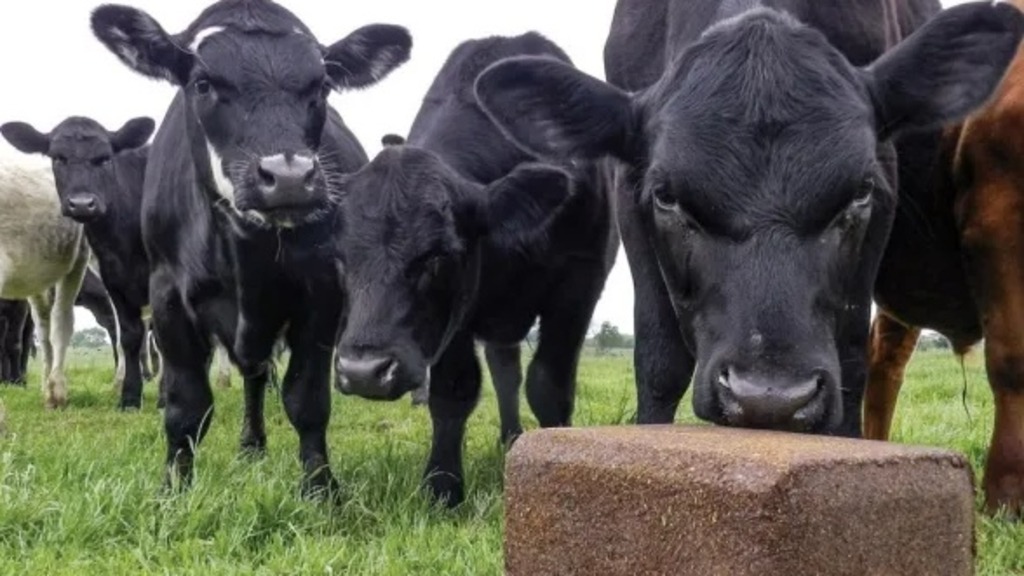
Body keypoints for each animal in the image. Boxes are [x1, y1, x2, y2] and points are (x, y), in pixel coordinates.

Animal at [90, 0, 411, 496]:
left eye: (322, 85)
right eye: (203, 83)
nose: (290, 177)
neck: (243, 254)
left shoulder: (320, 295)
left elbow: (306, 399)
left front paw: (320, 488)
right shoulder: (166, 295)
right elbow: (186, 405)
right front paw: (174, 488)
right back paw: (250, 446)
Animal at [333, 33, 617, 507]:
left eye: (438, 256)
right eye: (340, 257)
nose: (362, 372)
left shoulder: (579, 283)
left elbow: (549, 386)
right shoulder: (456, 320)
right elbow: (454, 391)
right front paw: (442, 485)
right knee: (505, 372)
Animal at [473, 1, 1024, 439]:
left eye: (860, 192)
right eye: (666, 197)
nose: (770, 397)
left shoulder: (885, 178)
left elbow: (850, 359)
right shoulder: (628, 187)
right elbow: (659, 361)